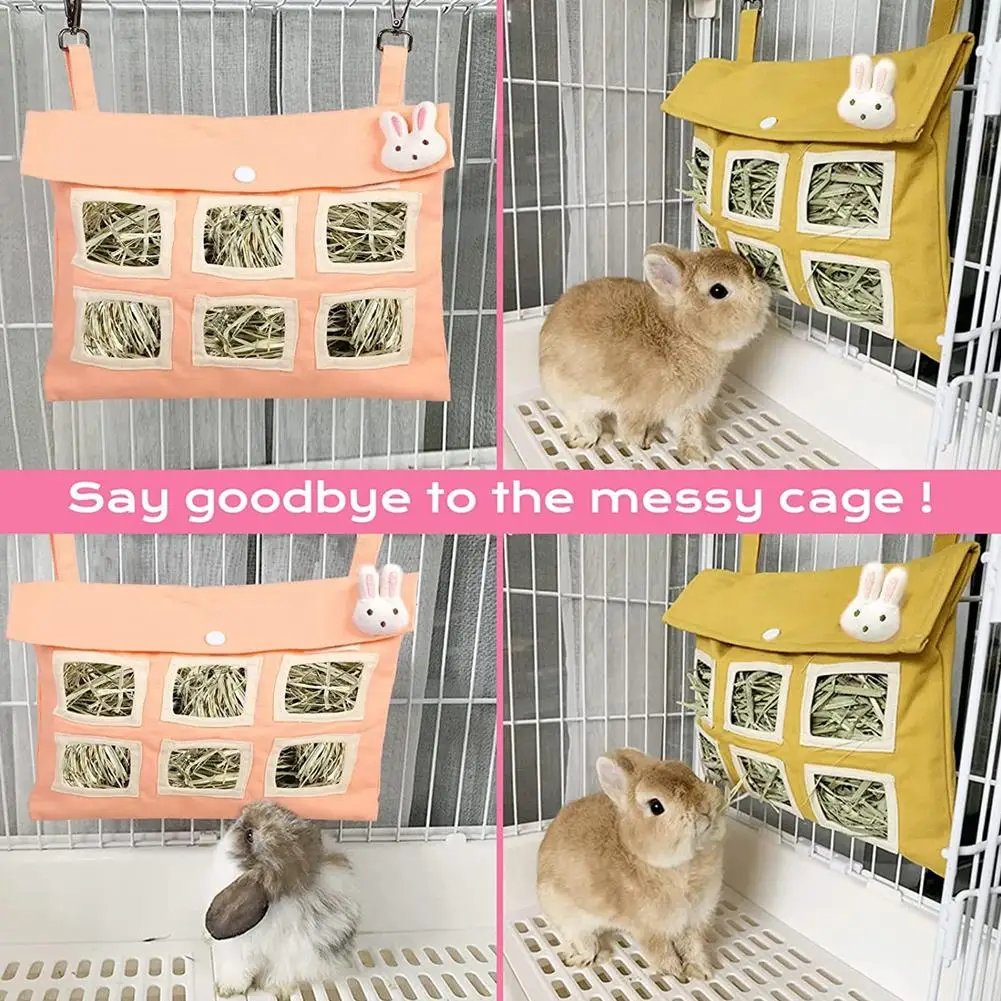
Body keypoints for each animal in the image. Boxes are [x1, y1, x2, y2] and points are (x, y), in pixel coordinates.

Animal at [537, 749, 726, 982]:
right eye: (656, 806)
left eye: (688, 772)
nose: (705, 809)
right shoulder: (649, 928)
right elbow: (661, 950)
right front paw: (675, 972)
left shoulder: (694, 921)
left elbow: (693, 946)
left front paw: (701, 971)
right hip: (568, 912)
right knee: (582, 939)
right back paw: (590, 957)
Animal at [538, 245, 771, 464]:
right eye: (718, 290)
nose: (762, 287)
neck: (684, 333)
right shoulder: (635, 407)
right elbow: (630, 429)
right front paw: (641, 441)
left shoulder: (687, 407)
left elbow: (689, 430)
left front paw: (699, 455)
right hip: (575, 397)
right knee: (586, 423)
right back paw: (598, 438)